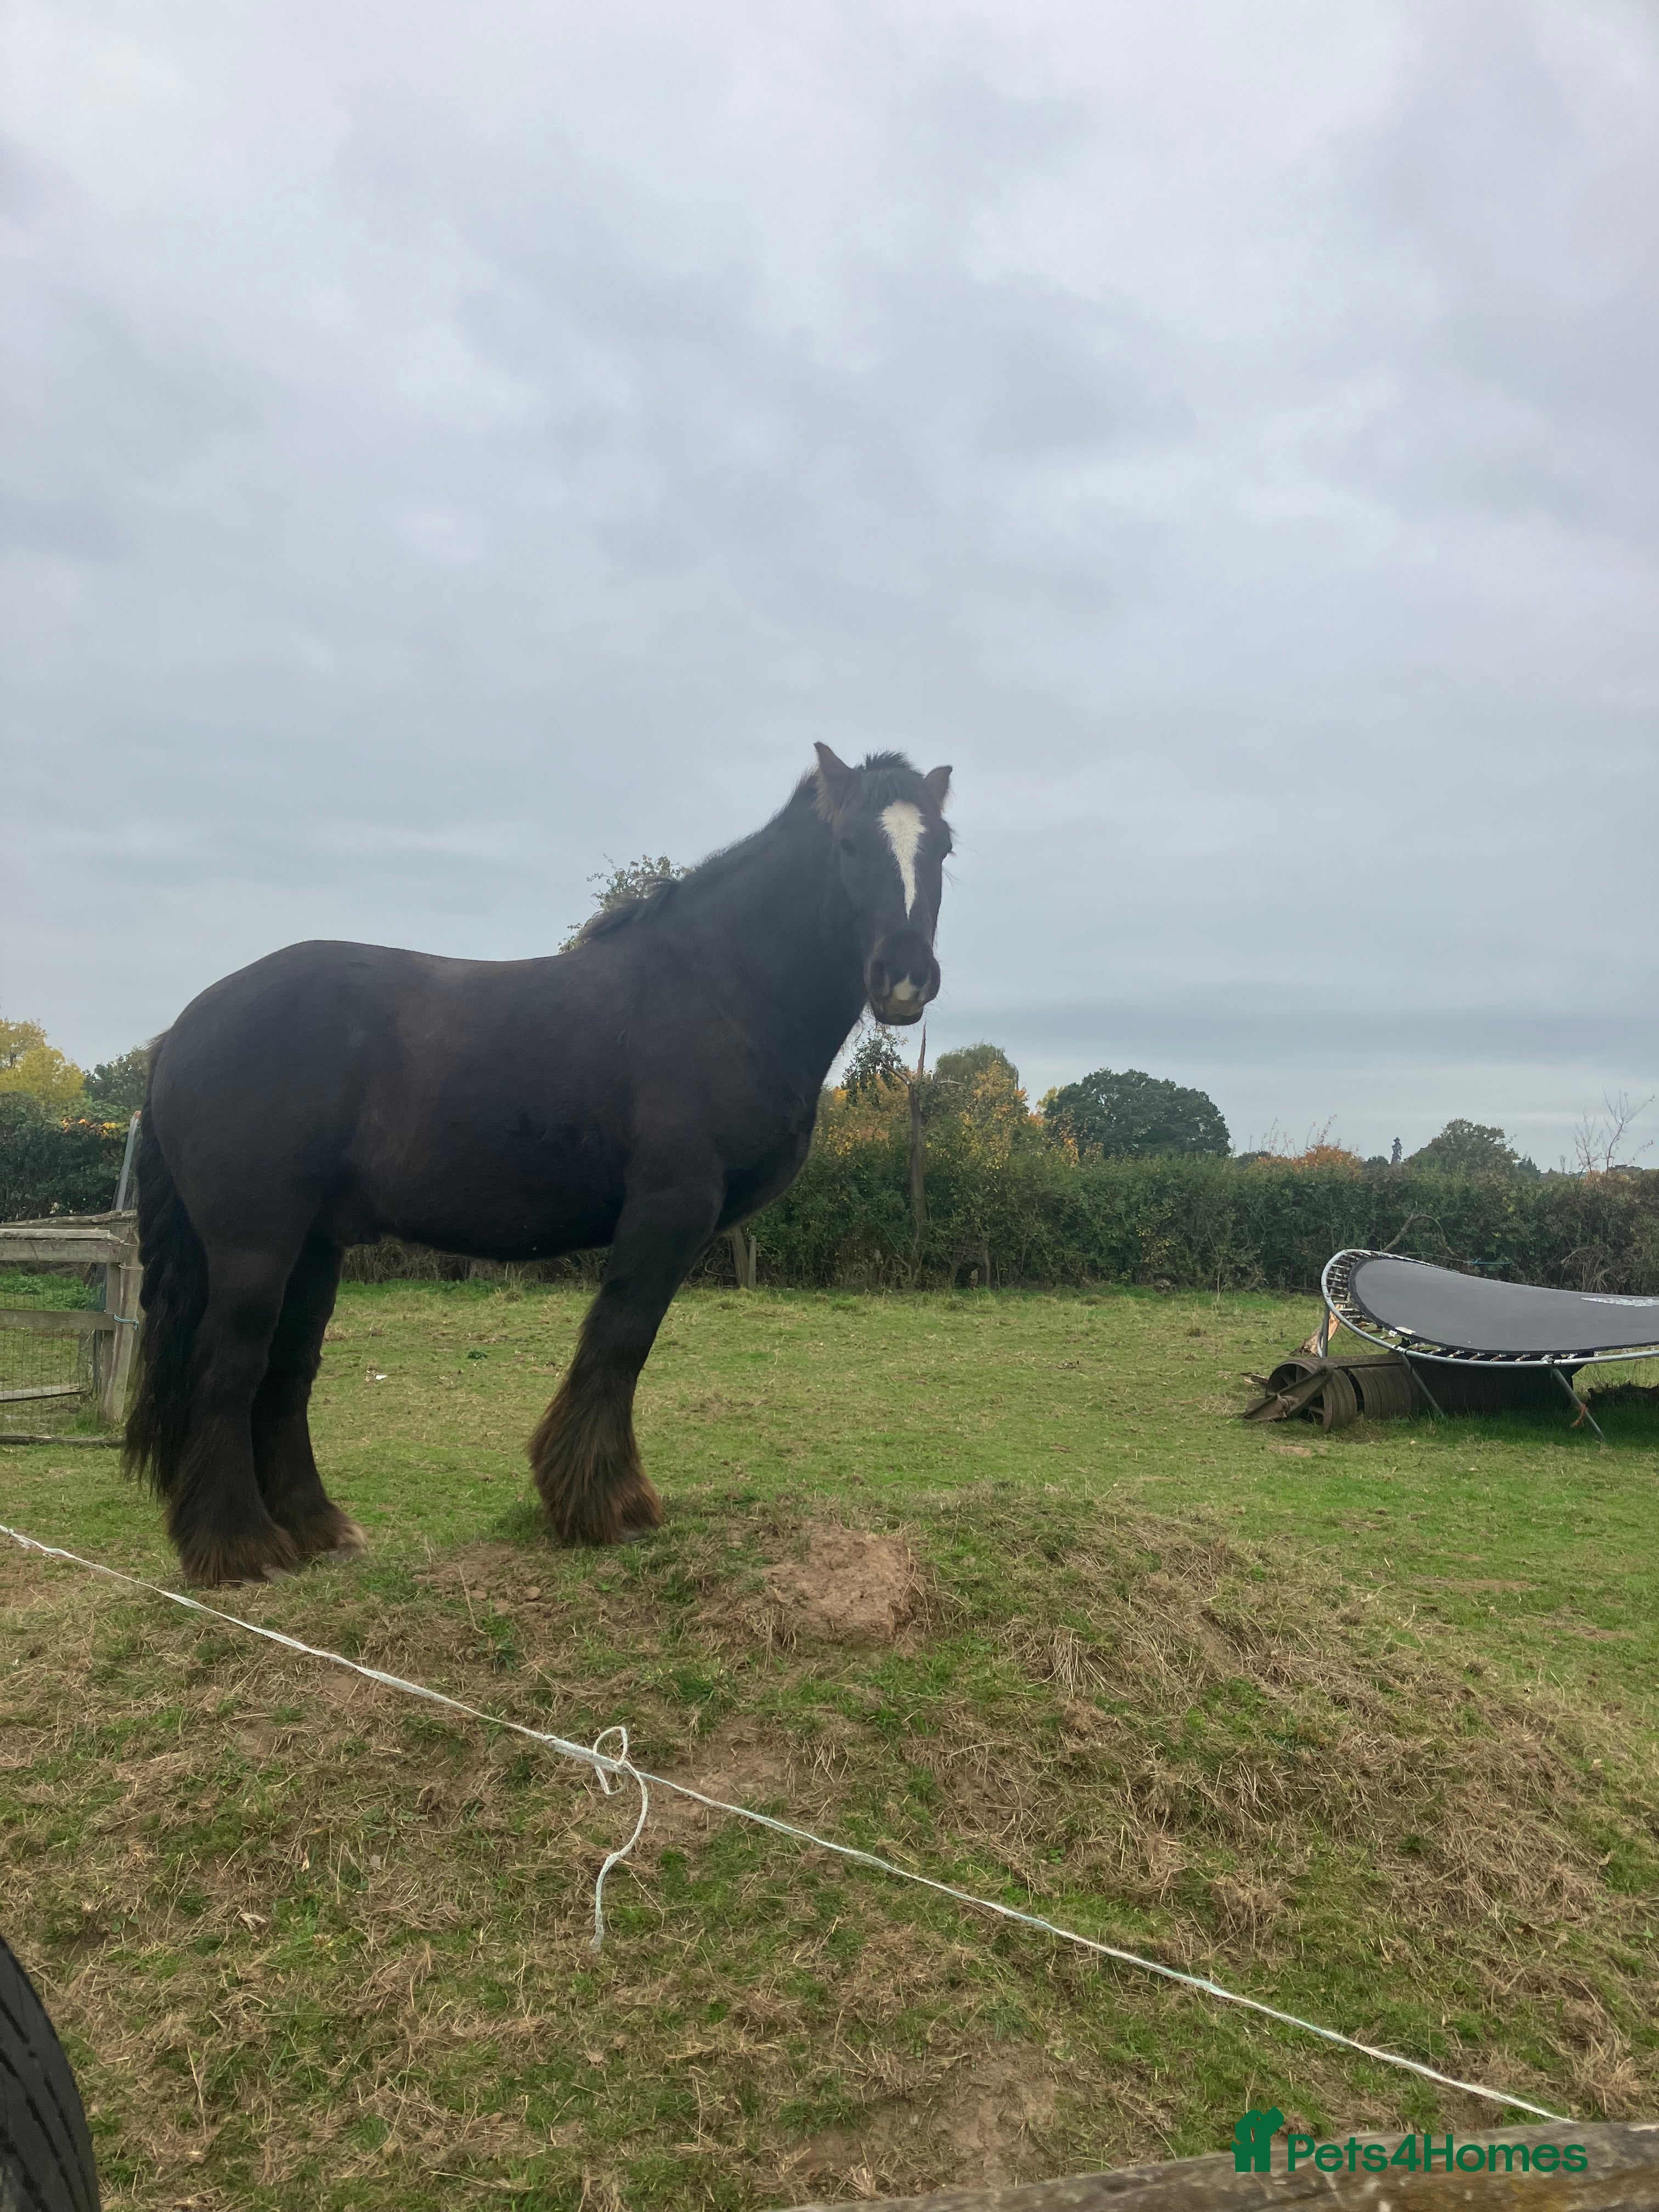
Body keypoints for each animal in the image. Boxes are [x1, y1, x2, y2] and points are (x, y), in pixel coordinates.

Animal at [124, 745, 953, 1585]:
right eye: (847, 845)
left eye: (943, 849)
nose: (904, 975)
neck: (718, 991)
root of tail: (182, 1031)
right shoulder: (671, 1206)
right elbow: (620, 1342)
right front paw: (605, 1507)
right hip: (255, 1243)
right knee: (230, 1366)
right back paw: (241, 1549)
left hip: (317, 1243)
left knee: (287, 1371)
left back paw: (317, 1530)